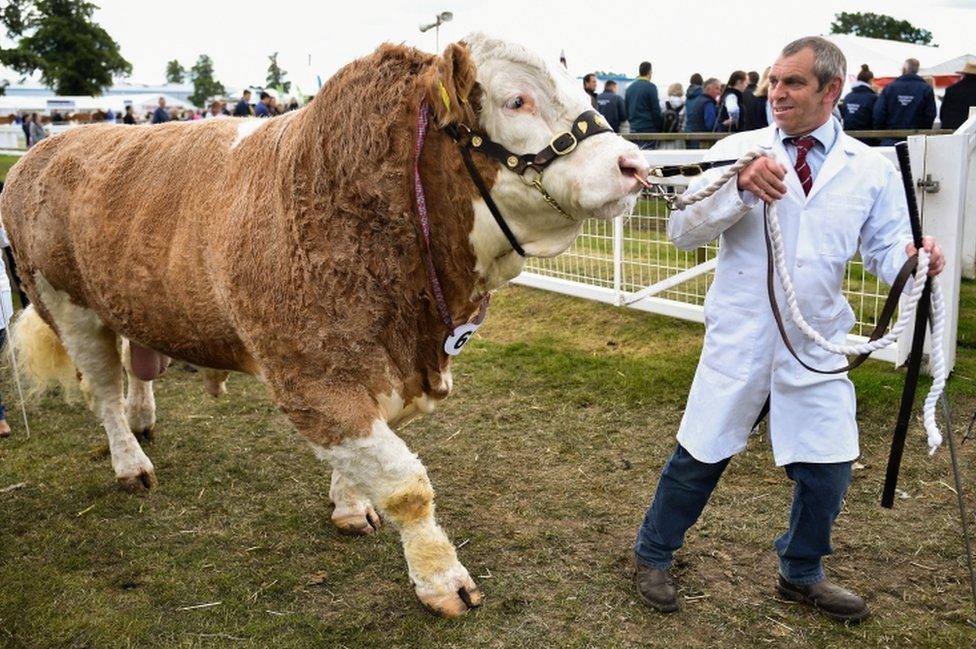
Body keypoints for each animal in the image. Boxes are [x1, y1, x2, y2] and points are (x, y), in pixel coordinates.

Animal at [1, 34, 648, 612]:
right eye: (517, 100)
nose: (634, 165)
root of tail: (50, 145)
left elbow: (363, 460)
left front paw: (349, 505)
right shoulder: (310, 374)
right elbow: (404, 482)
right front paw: (442, 580)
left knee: (138, 364)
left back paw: (143, 419)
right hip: (65, 303)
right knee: (103, 392)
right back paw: (131, 463)